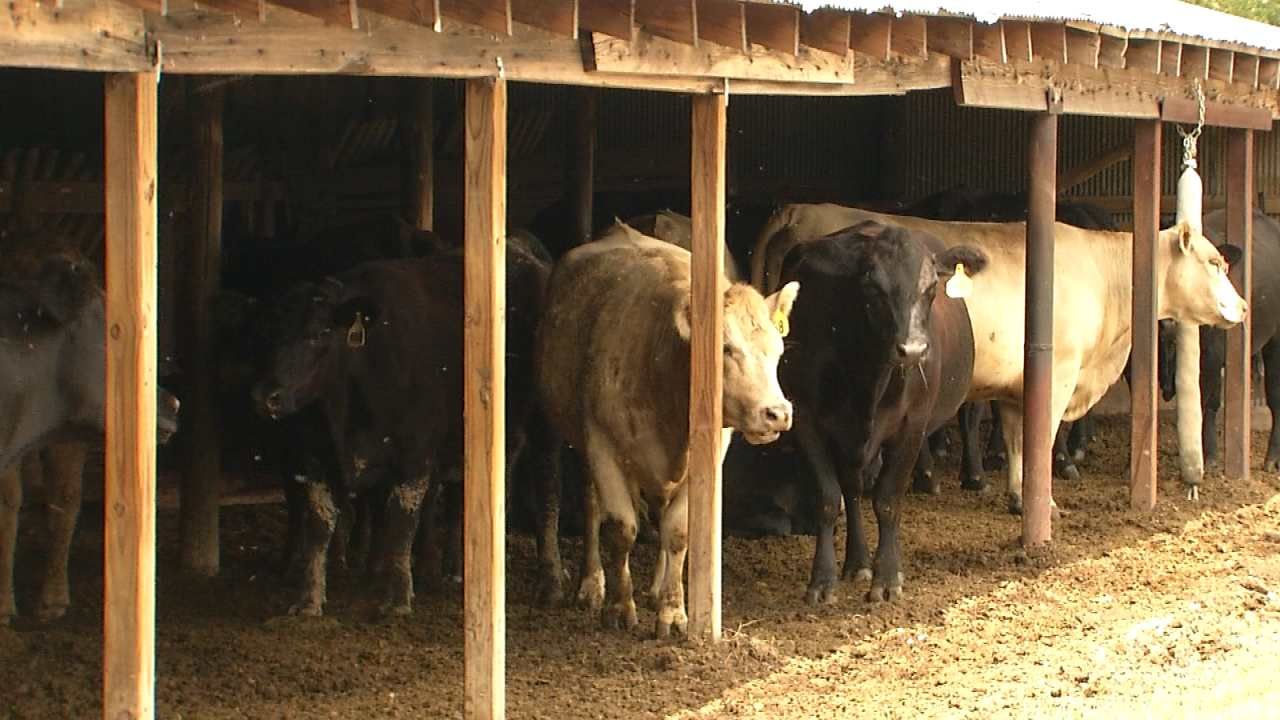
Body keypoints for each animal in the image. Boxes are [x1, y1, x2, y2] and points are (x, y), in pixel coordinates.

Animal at [251, 236, 561, 617]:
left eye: (321, 332)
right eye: (272, 334)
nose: (267, 396)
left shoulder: (415, 455)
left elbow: (401, 520)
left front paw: (397, 598)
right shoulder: (314, 459)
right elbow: (320, 525)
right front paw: (308, 600)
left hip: (544, 427)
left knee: (548, 492)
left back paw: (550, 582)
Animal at [535, 221, 798, 638]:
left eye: (778, 350)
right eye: (725, 347)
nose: (777, 413)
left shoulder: (707, 453)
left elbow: (678, 530)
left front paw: (673, 613)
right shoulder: (602, 446)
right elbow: (621, 527)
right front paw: (618, 607)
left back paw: (658, 588)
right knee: (592, 506)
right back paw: (592, 583)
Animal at [754, 204, 1247, 514]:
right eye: (1213, 263)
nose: (1243, 307)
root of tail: (798, 209)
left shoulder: (1015, 386)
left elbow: (1016, 440)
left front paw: (1018, 496)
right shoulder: (1057, 372)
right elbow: (1040, 437)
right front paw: (1043, 502)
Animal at [777, 220, 988, 604]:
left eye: (931, 288)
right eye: (873, 289)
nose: (914, 350)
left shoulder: (912, 426)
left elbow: (888, 500)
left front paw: (888, 578)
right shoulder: (806, 420)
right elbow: (828, 498)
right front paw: (822, 580)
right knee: (851, 490)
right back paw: (857, 562)